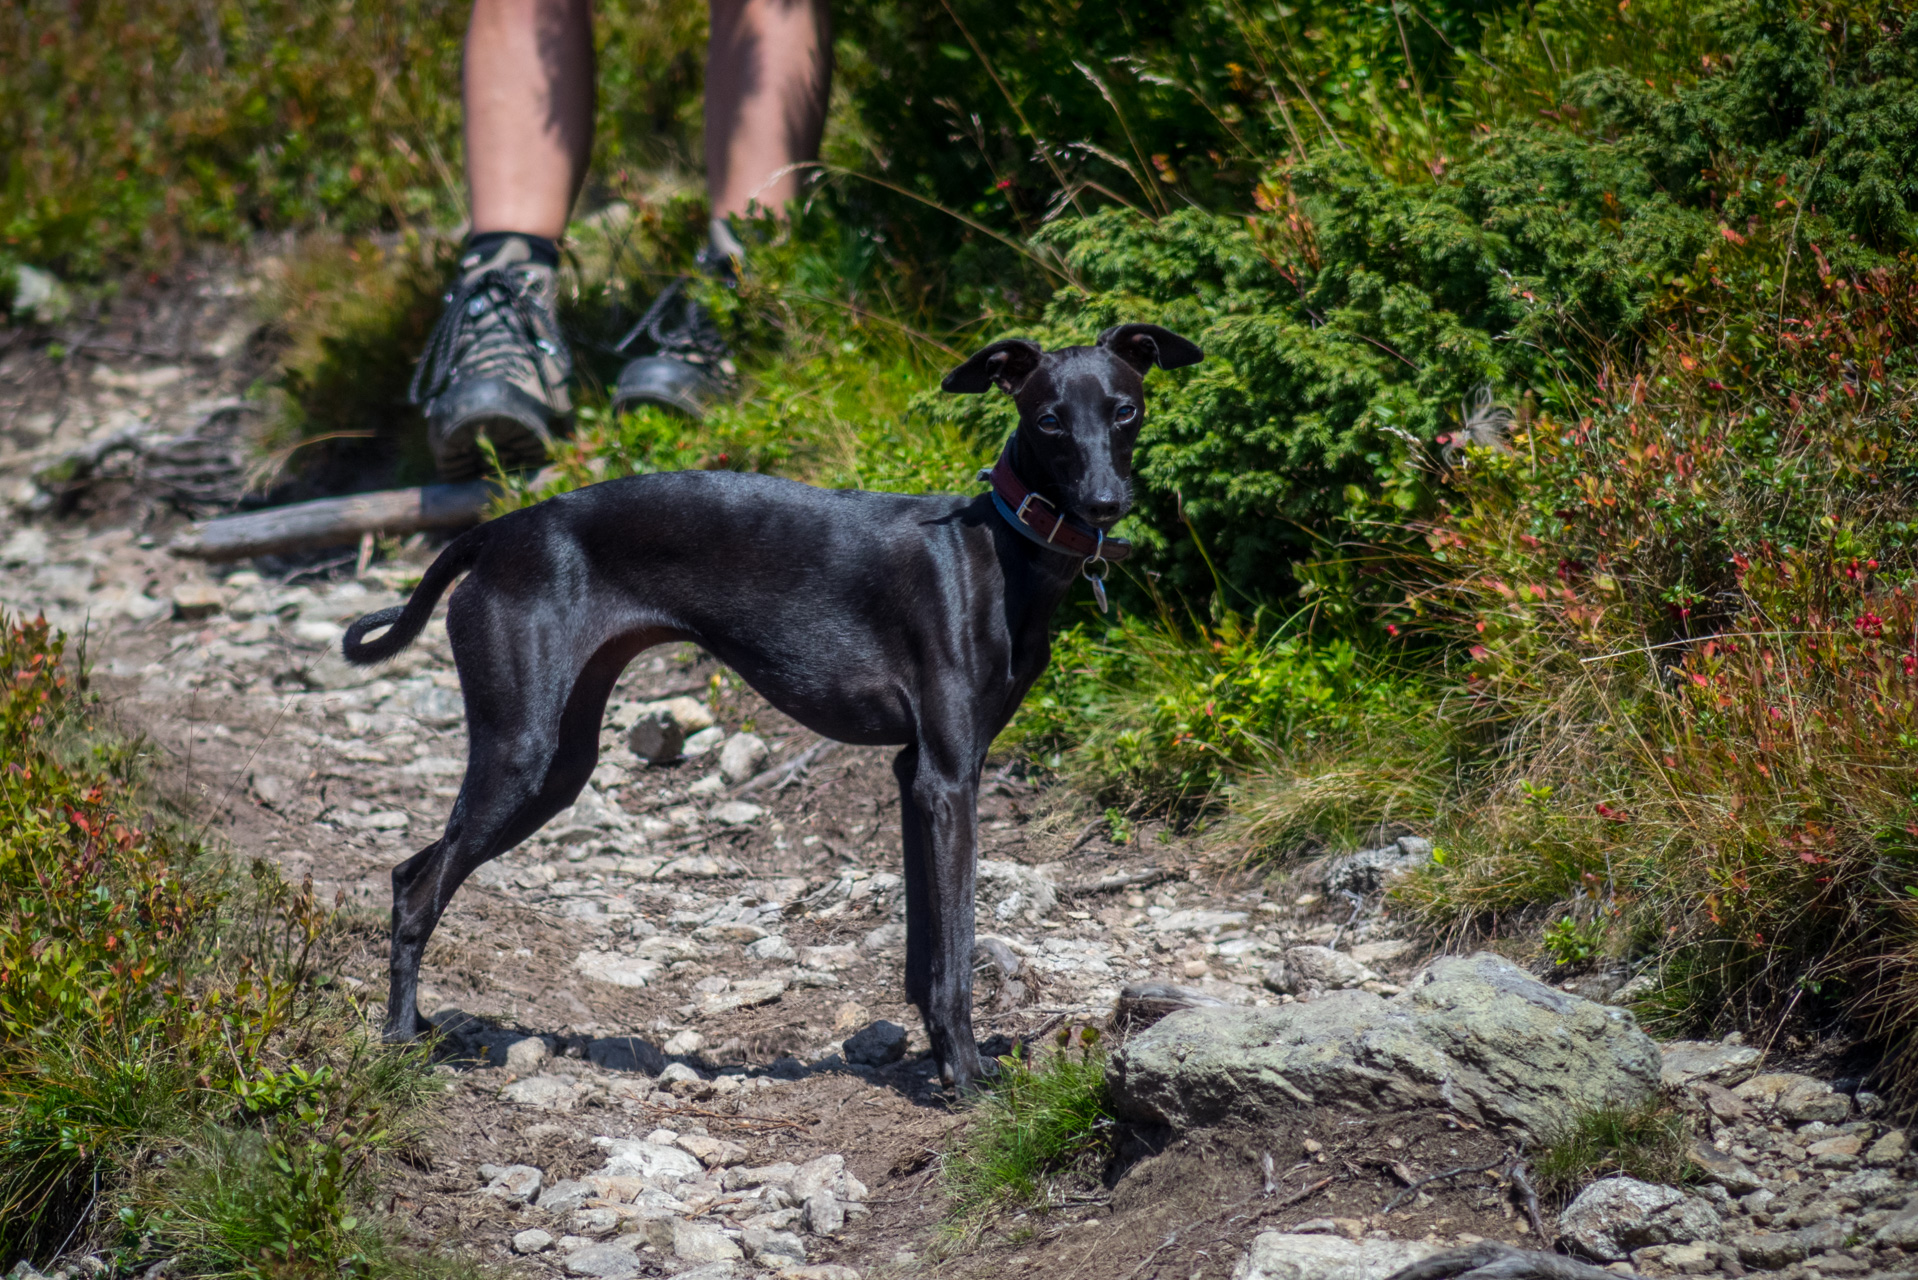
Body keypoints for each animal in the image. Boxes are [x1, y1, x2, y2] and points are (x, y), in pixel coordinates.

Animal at [337, 322, 1189, 1090]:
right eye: (1048, 418)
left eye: (1124, 410)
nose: (1105, 504)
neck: (999, 549)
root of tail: (494, 532)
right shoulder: (949, 779)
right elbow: (954, 951)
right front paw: (968, 1076)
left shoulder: (917, 774)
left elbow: (924, 950)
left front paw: (940, 1060)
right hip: (522, 753)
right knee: (419, 889)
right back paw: (396, 1040)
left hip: (561, 762)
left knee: (409, 870)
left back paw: (417, 1024)